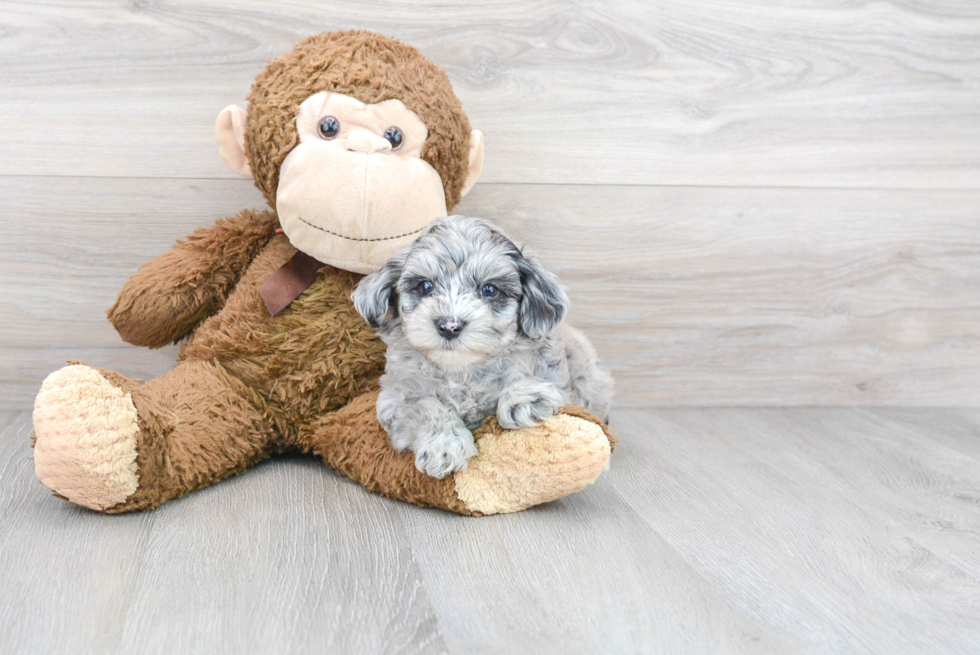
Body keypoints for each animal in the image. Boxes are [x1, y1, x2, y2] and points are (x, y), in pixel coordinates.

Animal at [352, 218, 612, 480]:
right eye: (425, 286)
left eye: (489, 289)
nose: (449, 326)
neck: (462, 369)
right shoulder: (397, 396)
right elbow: (425, 406)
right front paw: (445, 445)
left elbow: (526, 372)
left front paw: (523, 398)